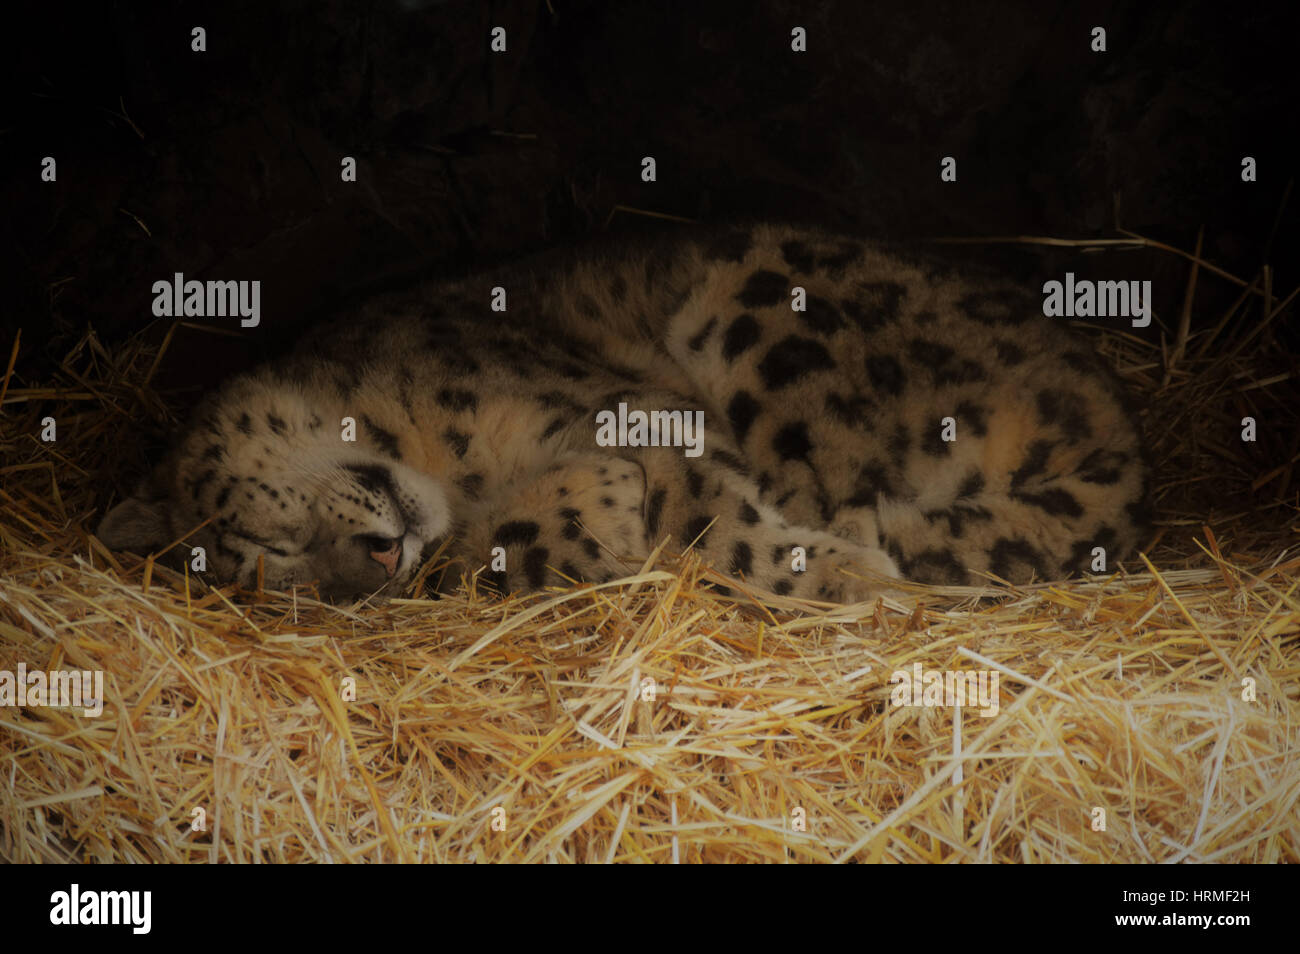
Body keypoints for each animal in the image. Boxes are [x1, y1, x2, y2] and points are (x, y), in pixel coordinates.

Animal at [98, 224, 1151, 605]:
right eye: (297, 591)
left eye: (264, 537)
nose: (379, 561)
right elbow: (511, 552)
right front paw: (585, 508)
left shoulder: (632, 403)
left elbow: (708, 516)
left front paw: (845, 576)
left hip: (759, 303)